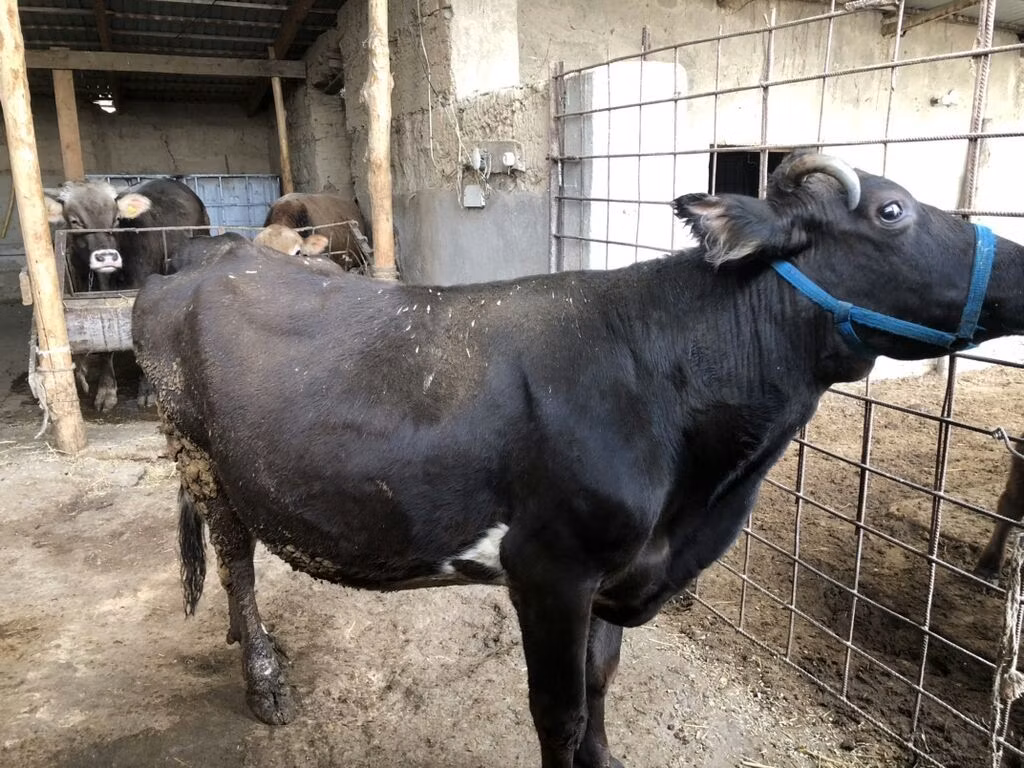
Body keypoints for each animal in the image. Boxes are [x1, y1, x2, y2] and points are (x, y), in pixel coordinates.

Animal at [44, 178, 209, 411]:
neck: (106, 282)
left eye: (116, 219)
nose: (107, 257)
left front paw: (148, 391)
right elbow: (103, 345)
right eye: (75, 221)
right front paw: (106, 391)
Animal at [131, 151, 1024, 768]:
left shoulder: (613, 572)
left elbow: (599, 687)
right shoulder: (550, 568)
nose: (1021, 262)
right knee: (236, 564)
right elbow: (556, 710)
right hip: (195, 449)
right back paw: (264, 678)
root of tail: (213, 251)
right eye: (893, 210)